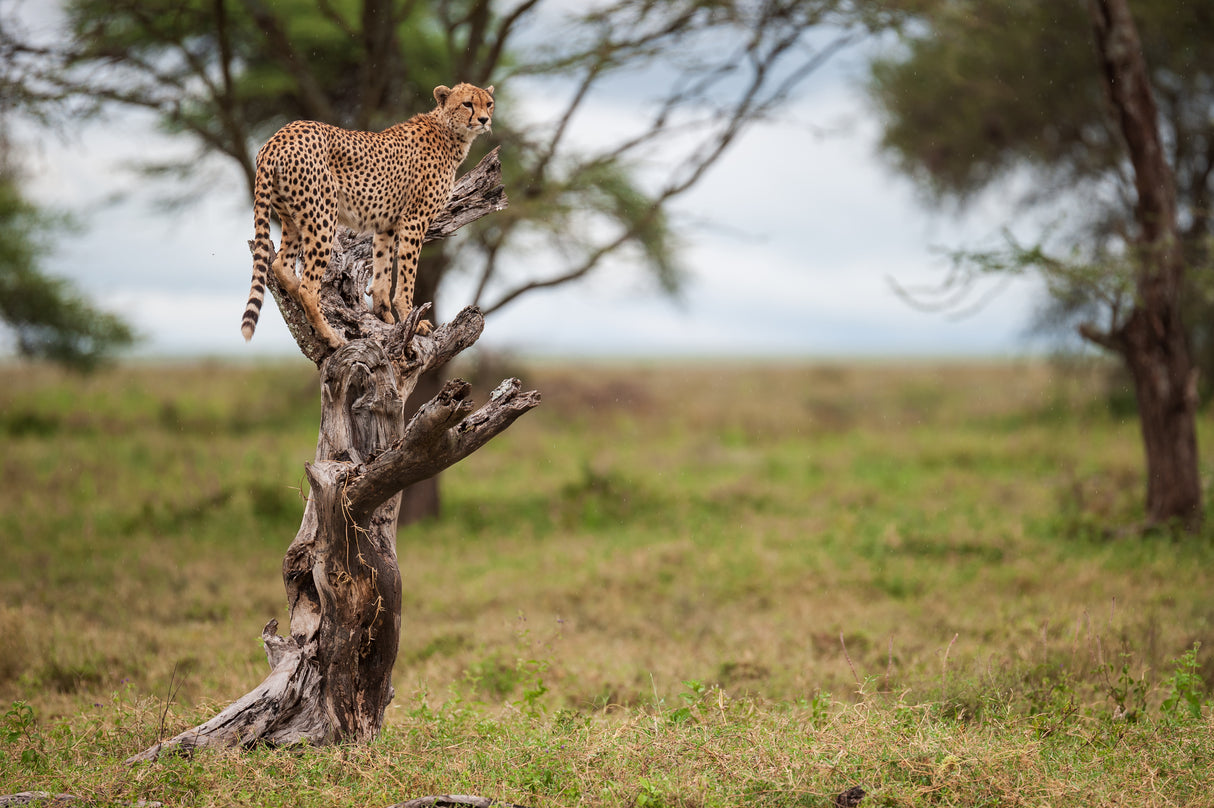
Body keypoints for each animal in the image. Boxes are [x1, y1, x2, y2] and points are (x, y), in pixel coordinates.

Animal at [240, 82, 495, 348]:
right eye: (467, 104)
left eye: (488, 103)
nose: (484, 119)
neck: (449, 132)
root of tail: (278, 136)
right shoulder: (414, 220)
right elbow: (407, 275)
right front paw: (411, 319)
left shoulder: (387, 223)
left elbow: (383, 267)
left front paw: (385, 316)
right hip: (323, 218)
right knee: (308, 287)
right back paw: (331, 336)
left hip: (292, 217)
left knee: (281, 265)